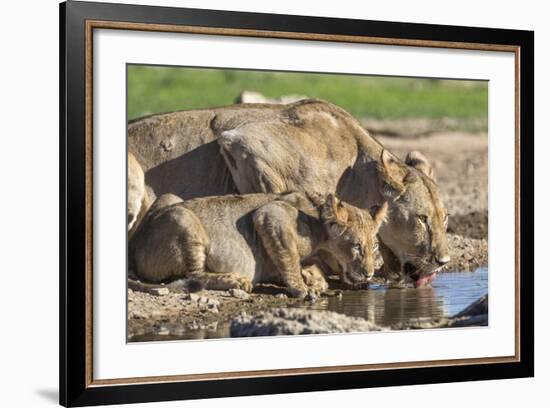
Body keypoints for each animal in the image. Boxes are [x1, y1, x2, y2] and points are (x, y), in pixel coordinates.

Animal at [129, 191, 388, 296]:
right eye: (356, 246)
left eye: (374, 246)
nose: (369, 273)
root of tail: (133, 245)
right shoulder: (270, 215)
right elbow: (289, 257)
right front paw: (303, 288)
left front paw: (314, 280)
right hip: (183, 218)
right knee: (195, 275)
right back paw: (236, 280)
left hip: (170, 198)